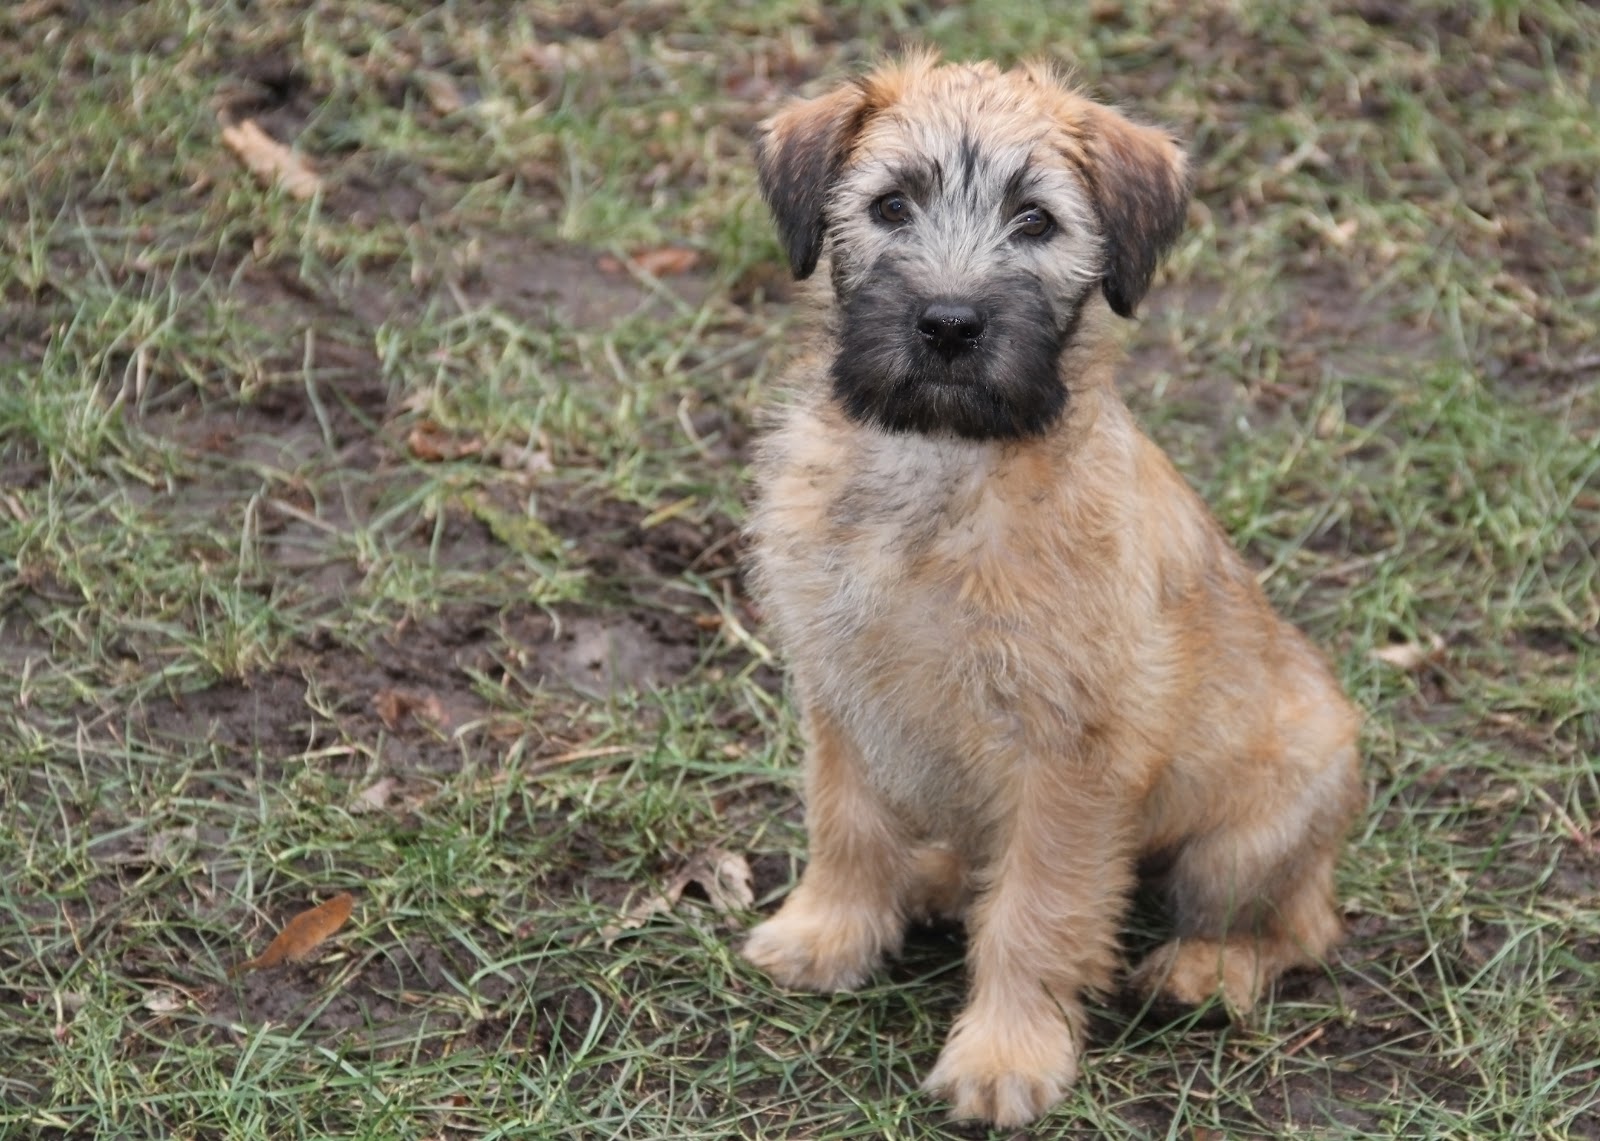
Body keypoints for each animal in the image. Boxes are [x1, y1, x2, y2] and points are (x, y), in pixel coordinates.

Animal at [736, 53, 1363, 1120]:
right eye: (890, 205)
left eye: (1035, 222)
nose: (949, 324)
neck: (940, 469)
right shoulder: (842, 691)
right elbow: (846, 824)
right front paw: (827, 933)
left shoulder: (1072, 749)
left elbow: (1040, 907)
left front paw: (1005, 1056)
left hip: (1250, 833)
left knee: (1297, 925)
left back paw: (1205, 971)